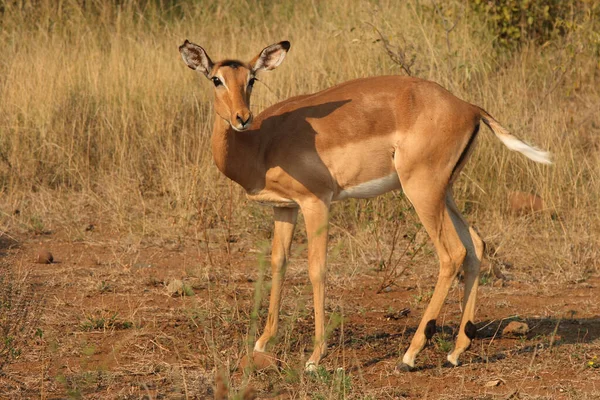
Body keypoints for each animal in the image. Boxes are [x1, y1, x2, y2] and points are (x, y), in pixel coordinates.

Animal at [178, 39, 548, 372]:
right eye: (216, 79)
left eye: (251, 79)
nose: (241, 117)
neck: (261, 143)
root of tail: (469, 107)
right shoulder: (284, 208)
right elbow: (278, 264)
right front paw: (261, 342)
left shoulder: (316, 202)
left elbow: (316, 269)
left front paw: (315, 358)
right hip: (445, 192)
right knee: (476, 245)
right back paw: (455, 352)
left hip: (422, 191)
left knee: (452, 253)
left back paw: (409, 357)